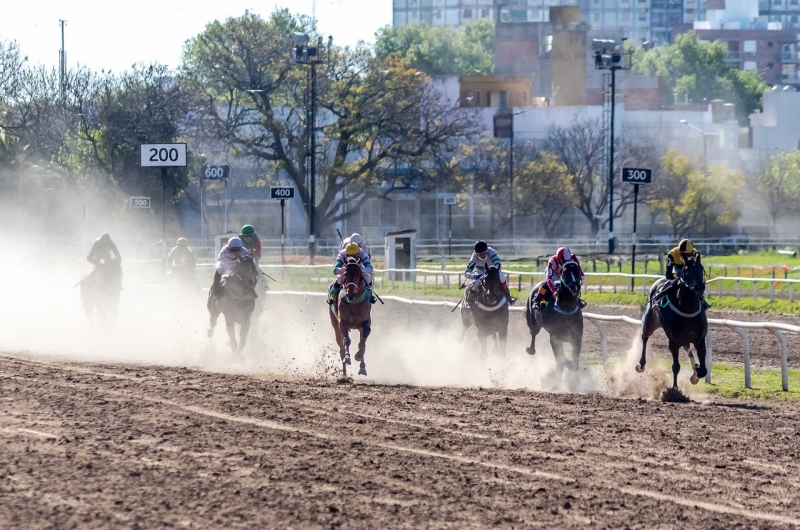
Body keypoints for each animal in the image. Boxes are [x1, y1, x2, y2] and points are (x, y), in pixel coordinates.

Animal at [636, 254, 708, 386]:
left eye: (701, 268)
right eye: (686, 269)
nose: (699, 288)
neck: (688, 309)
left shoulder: (699, 340)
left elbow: (703, 370)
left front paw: (695, 374)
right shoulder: (673, 341)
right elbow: (676, 366)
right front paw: (674, 388)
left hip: (685, 338)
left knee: (687, 347)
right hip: (650, 322)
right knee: (645, 336)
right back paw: (641, 365)